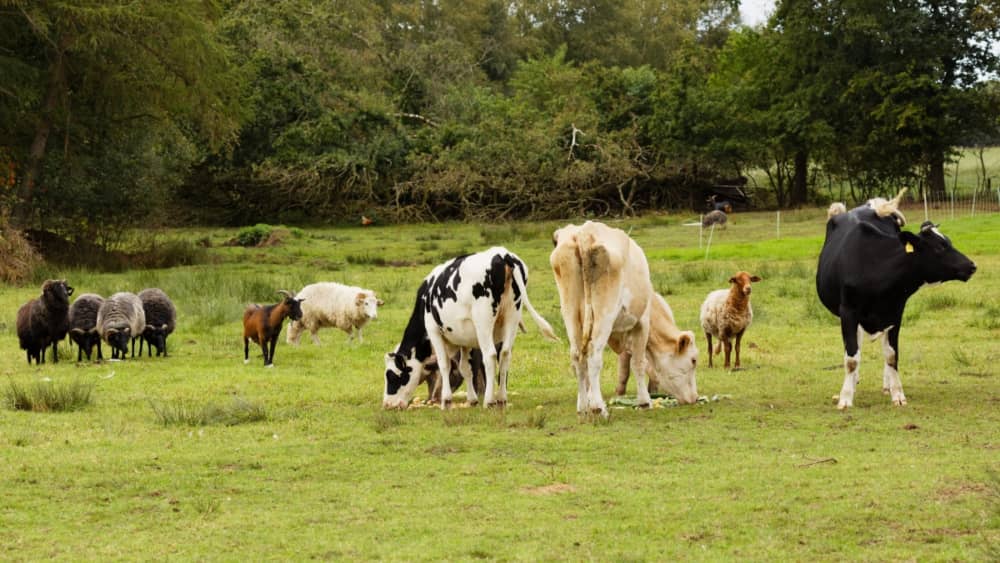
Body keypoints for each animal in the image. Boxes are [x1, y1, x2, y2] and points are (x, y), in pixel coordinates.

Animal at [382, 247, 560, 410]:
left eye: (391, 376)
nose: (387, 404)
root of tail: (503, 254)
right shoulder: (464, 338)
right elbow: (465, 368)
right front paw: (472, 399)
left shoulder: (434, 331)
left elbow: (444, 364)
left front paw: (446, 401)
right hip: (512, 316)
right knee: (505, 355)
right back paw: (501, 398)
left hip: (484, 321)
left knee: (490, 356)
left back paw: (489, 401)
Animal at [552, 223, 700, 416]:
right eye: (693, 360)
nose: (695, 398)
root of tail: (585, 232)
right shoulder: (642, 323)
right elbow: (638, 363)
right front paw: (644, 401)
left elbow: (623, 367)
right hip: (604, 313)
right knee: (593, 354)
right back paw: (598, 408)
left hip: (570, 311)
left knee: (578, 355)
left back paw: (583, 407)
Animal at [816, 191, 972, 410]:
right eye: (939, 248)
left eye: (948, 242)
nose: (971, 265)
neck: (874, 266)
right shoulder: (848, 312)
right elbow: (852, 357)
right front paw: (846, 397)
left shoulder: (895, 312)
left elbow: (891, 355)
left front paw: (897, 393)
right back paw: (854, 381)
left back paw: (886, 384)